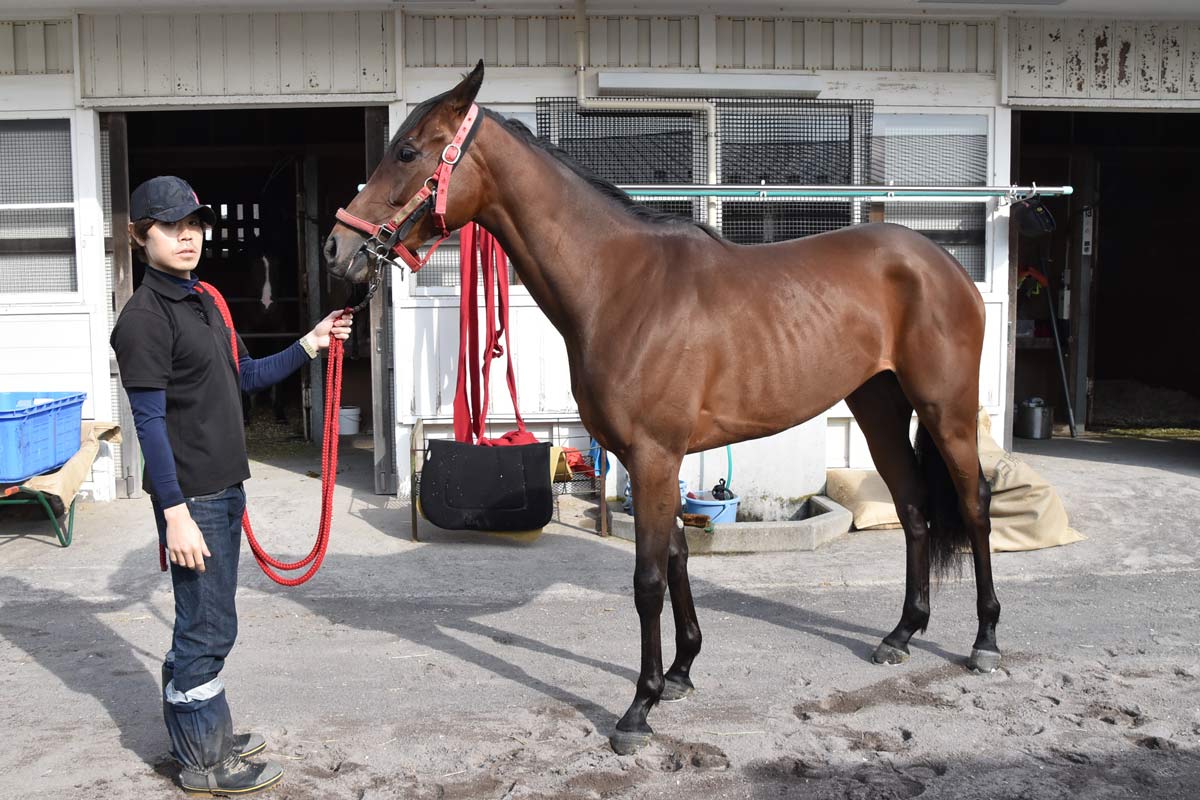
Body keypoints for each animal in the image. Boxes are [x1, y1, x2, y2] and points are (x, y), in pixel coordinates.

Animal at [323, 62, 999, 756]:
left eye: (407, 152)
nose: (336, 250)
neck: (621, 285)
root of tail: (939, 260)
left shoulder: (652, 456)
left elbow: (647, 580)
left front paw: (638, 708)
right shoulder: (654, 459)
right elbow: (677, 557)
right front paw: (680, 672)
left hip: (945, 409)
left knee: (973, 502)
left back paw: (984, 641)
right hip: (878, 406)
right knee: (914, 505)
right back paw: (901, 634)